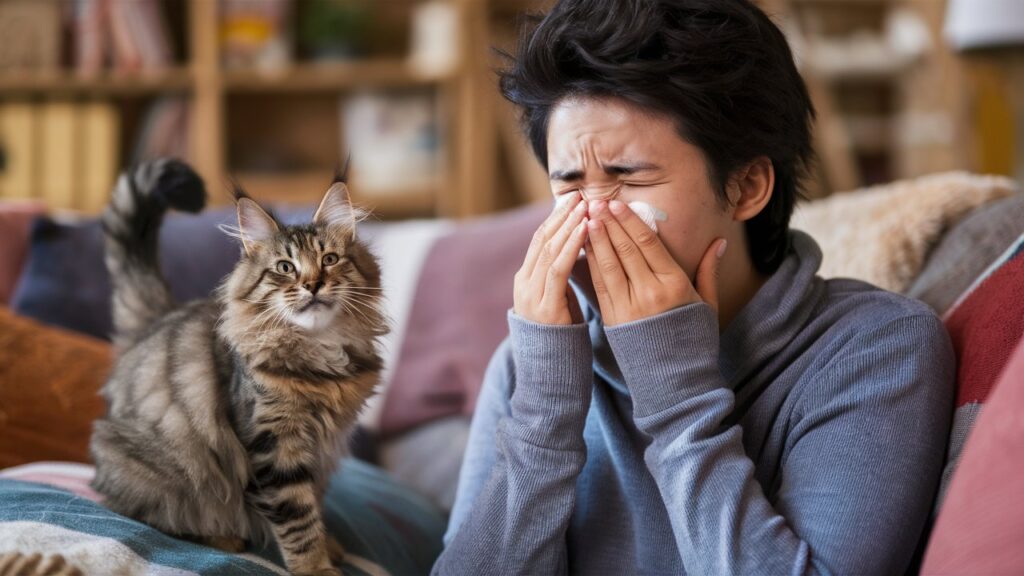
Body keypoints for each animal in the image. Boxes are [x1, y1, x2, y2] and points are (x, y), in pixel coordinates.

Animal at [91, 157, 387, 573]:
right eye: (285, 267)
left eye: (329, 260)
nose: (313, 284)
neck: (318, 354)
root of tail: (153, 323)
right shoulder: (274, 446)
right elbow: (298, 520)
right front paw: (316, 567)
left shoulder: (320, 448)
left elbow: (314, 502)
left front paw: (328, 546)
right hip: (159, 469)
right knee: (140, 510)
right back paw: (222, 536)